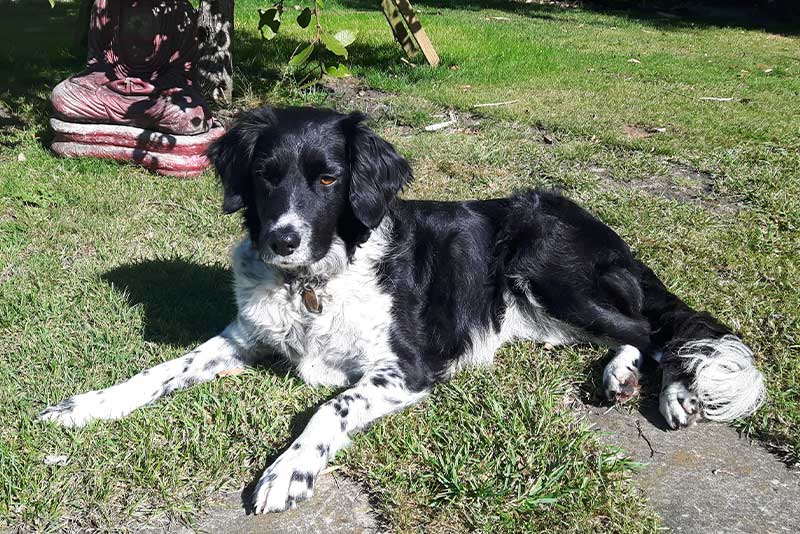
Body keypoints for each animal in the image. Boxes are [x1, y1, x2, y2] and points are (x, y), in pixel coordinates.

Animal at [40, 108, 764, 516]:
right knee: (630, 333)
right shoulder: (242, 337)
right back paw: (619, 375)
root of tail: (601, 227)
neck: (312, 282)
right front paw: (87, 405)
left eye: (328, 178)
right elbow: (163, 370)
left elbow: (328, 407)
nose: (281, 240)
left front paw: (287, 471)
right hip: (539, 315)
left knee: (659, 328)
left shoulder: (407, 368)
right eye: (267, 175)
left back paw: (671, 392)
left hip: (544, 266)